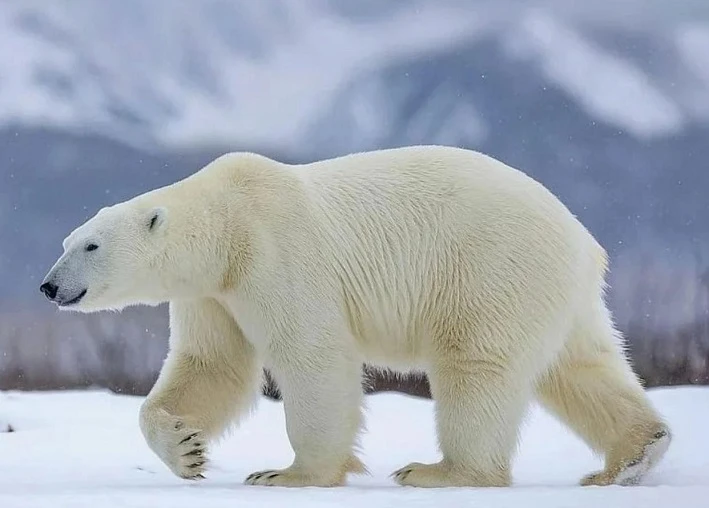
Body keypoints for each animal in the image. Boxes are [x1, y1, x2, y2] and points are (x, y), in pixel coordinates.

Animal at [40, 145, 671, 488]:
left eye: (90, 245)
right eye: (67, 241)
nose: (49, 286)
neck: (228, 222)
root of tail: (582, 240)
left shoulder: (274, 253)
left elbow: (312, 354)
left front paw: (288, 474)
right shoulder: (214, 293)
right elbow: (212, 365)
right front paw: (185, 447)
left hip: (490, 267)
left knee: (475, 365)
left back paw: (443, 471)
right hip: (556, 293)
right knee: (582, 365)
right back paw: (631, 457)